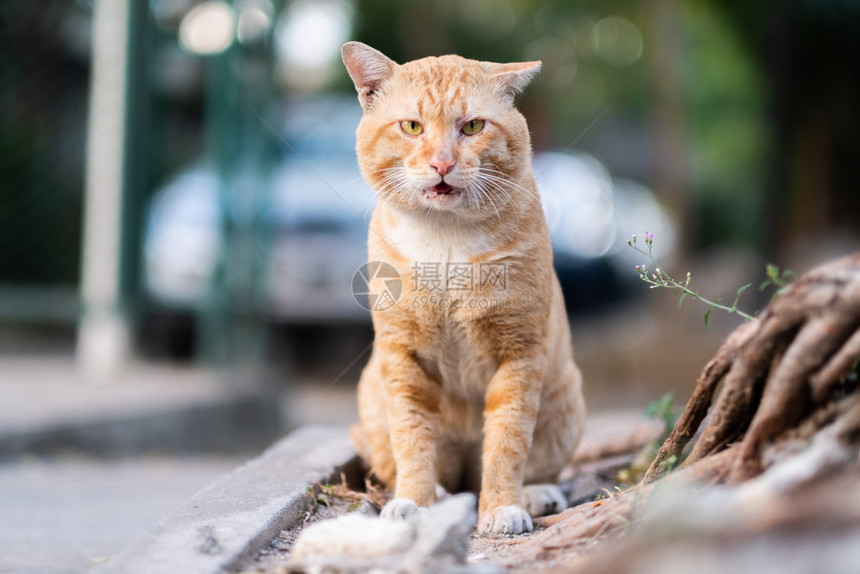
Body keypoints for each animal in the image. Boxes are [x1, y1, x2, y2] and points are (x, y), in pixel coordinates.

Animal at [340, 42, 584, 536]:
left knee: (536, 465)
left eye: (472, 126)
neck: (446, 241)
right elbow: (412, 440)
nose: (442, 163)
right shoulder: (403, 358)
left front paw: (502, 508)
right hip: (371, 398)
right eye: (412, 126)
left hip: (567, 399)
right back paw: (440, 496)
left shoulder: (520, 353)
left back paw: (535, 493)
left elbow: (507, 444)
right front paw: (414, 502)